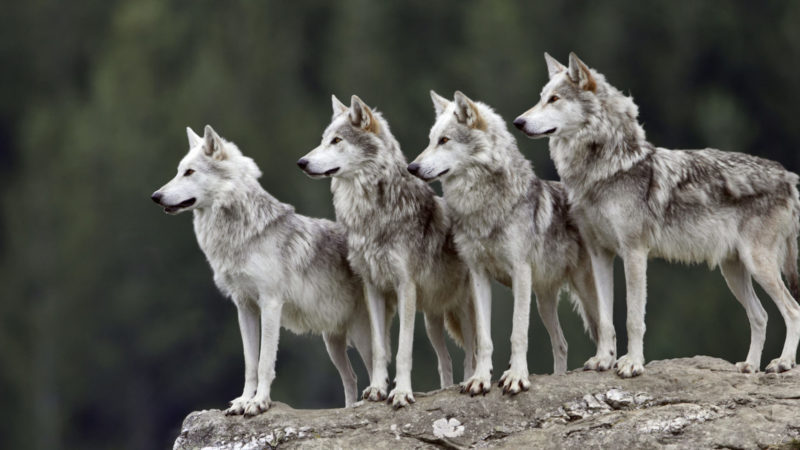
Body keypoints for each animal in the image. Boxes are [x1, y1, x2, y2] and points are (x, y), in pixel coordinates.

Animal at [152, 125, 374, 416]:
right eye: (178, 171)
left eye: (189, 172)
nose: (155, 197)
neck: (241, 236)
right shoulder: (244, 307)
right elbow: (250, 364)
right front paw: (243, 401)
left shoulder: (270, 304)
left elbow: (265, 362)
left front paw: (259, 403)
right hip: (333, 342)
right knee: (352, 377)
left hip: (361, 336)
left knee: (377, 369)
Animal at [298, 94, 476, 408]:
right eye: (323, 140)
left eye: (336, 140)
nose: (302, 162)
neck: (372, 215)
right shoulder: (373, 287)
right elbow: (380, 349)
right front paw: (377, 389)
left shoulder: (405, 287)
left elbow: (404, 350)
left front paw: (402, 393)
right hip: (432, 320)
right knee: (445, 360)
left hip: (461, 309)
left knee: (471, 353)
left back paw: (469, 383)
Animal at [410, 89, 616, 394]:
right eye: (430, 140)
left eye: (444, 140)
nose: (411, 167)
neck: (483, 208)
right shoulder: (478, 276)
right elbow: (484, 339)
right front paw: (480, 380)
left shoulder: (520, 272)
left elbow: (518, 333)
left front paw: (516, 377)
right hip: (543, 300)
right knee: (562, 343)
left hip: (583, 290)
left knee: (606, 328)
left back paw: (606, 362)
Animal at [512, 52, 800, 376]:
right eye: (541, 98)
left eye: (554, 99)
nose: (518, 122)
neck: (605, 170)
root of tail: (788, 176)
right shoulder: (600, 255)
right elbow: (605, 320)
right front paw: (603, 360)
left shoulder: (634, 252)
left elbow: (633, 318)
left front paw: (632, 364)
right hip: (734, 271)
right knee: (761, 315)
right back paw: (750, 366)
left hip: (758, 264)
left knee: (793, 310)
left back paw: (784, 362)